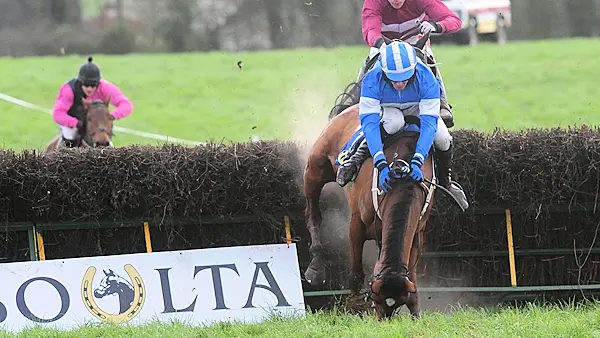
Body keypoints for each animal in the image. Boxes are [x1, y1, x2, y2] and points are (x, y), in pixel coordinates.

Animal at [302, 31, 438, 320]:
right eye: (377, 302)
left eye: (395, 305)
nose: (384, 321)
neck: (401, 180)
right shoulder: (356, 224)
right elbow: (356, 271)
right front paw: (354, 305)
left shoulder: (417, 232)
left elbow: (410, 271)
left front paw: (416, 310)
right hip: (315, 168)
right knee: (313, 212)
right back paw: (316, 266)